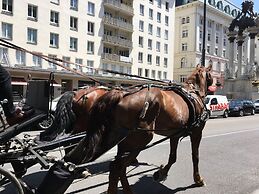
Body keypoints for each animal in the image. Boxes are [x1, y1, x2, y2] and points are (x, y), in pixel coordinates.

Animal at [64, 64, 213, 193]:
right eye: (211, 75)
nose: (216, 84)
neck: (193, 92)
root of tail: (120, 94)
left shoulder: (175, 134)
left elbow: (172, 157)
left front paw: (161, 173)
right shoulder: (197, 132)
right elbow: (195, 156)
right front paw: (198, 179)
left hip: (122, 140)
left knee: (118, 167)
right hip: (140, 140)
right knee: (117, 167)